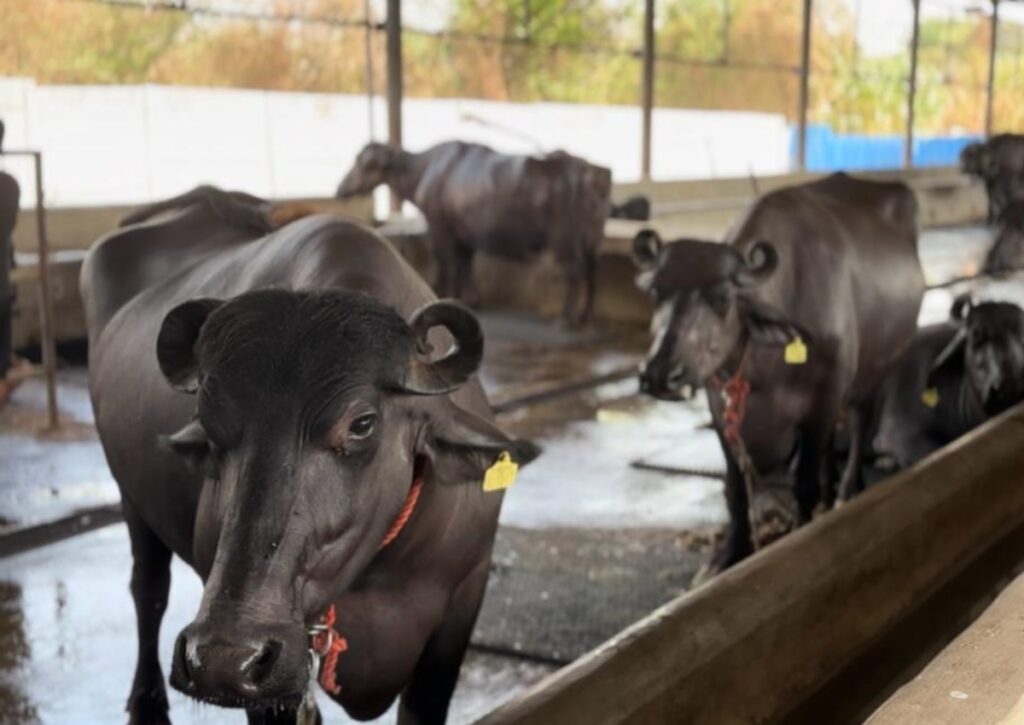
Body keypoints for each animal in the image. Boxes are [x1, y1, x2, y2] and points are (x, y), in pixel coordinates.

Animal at [83, 186, 539, 724]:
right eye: (209, 429)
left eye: (361, 423)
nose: (223, 660)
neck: (380, 572)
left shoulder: (463, 599)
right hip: (130, 495)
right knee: (149, 590)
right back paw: (146, 700)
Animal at [335, 141, 611, 325]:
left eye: (363, 164)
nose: (340, 188)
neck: (425, 170)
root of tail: (591, 172)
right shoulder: (465, 235)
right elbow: (466, 266)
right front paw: (470, 299)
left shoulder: (440, 228)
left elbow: (447, 266)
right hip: (592, 241)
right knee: (593, 273)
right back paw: (586, 316)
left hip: (564, 242)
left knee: (574, 274)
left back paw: (565, 318)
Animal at [634, 173, 924, 571]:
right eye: (655, 292)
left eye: (722, 297)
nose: (662, 374)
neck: (763, 375)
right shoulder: (720, 409)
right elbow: (736, 489)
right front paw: (731, 553)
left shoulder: (823, 400)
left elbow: (803, 482)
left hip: (877, 372)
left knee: (858, 424)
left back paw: (847, 489)